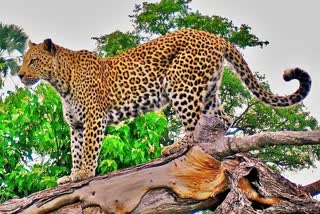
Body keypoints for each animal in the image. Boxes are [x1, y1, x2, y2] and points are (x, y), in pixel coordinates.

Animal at [17, 28, 310, 183]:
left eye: (33, 61)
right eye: (23, 60)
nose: (19, 75)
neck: (60, 81)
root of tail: (213, 36)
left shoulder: (93, 120)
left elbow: (89, 150)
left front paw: (84, 174)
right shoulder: (77, 125)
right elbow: (76, 151)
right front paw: (72, 175)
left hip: (181, 85)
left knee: (193, 125)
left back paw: (177, 146)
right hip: (208, 91)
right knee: (223, 118)